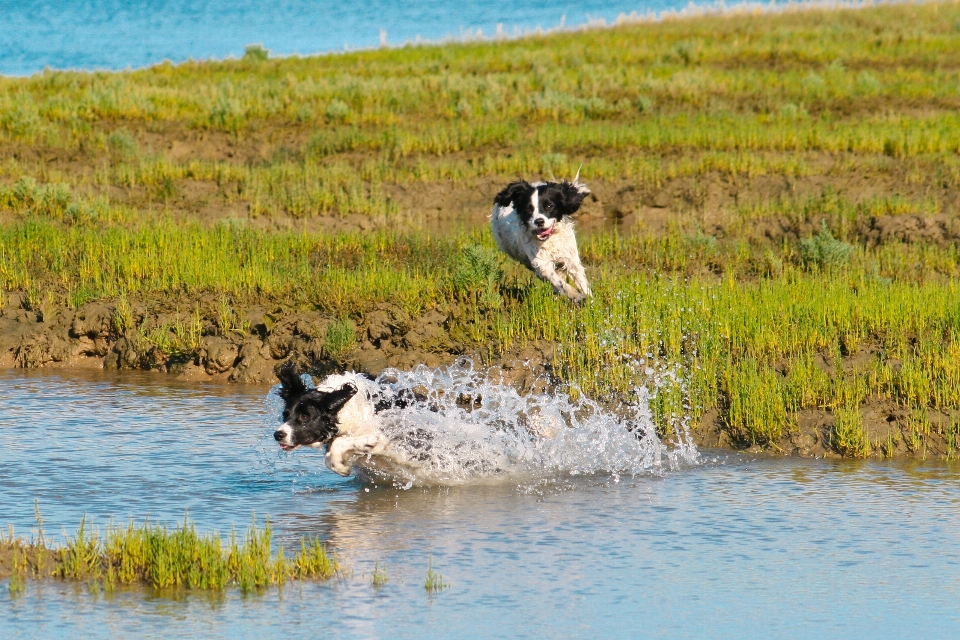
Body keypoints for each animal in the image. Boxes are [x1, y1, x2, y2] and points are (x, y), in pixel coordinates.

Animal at [496, 172, 592, 302]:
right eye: (528, 209)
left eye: (549, 206)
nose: (539, 221)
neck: (550, 239)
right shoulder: (541, 263)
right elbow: (558, 282)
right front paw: (576, 296)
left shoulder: (570, 257)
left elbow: (581, 281)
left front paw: (590, 300)